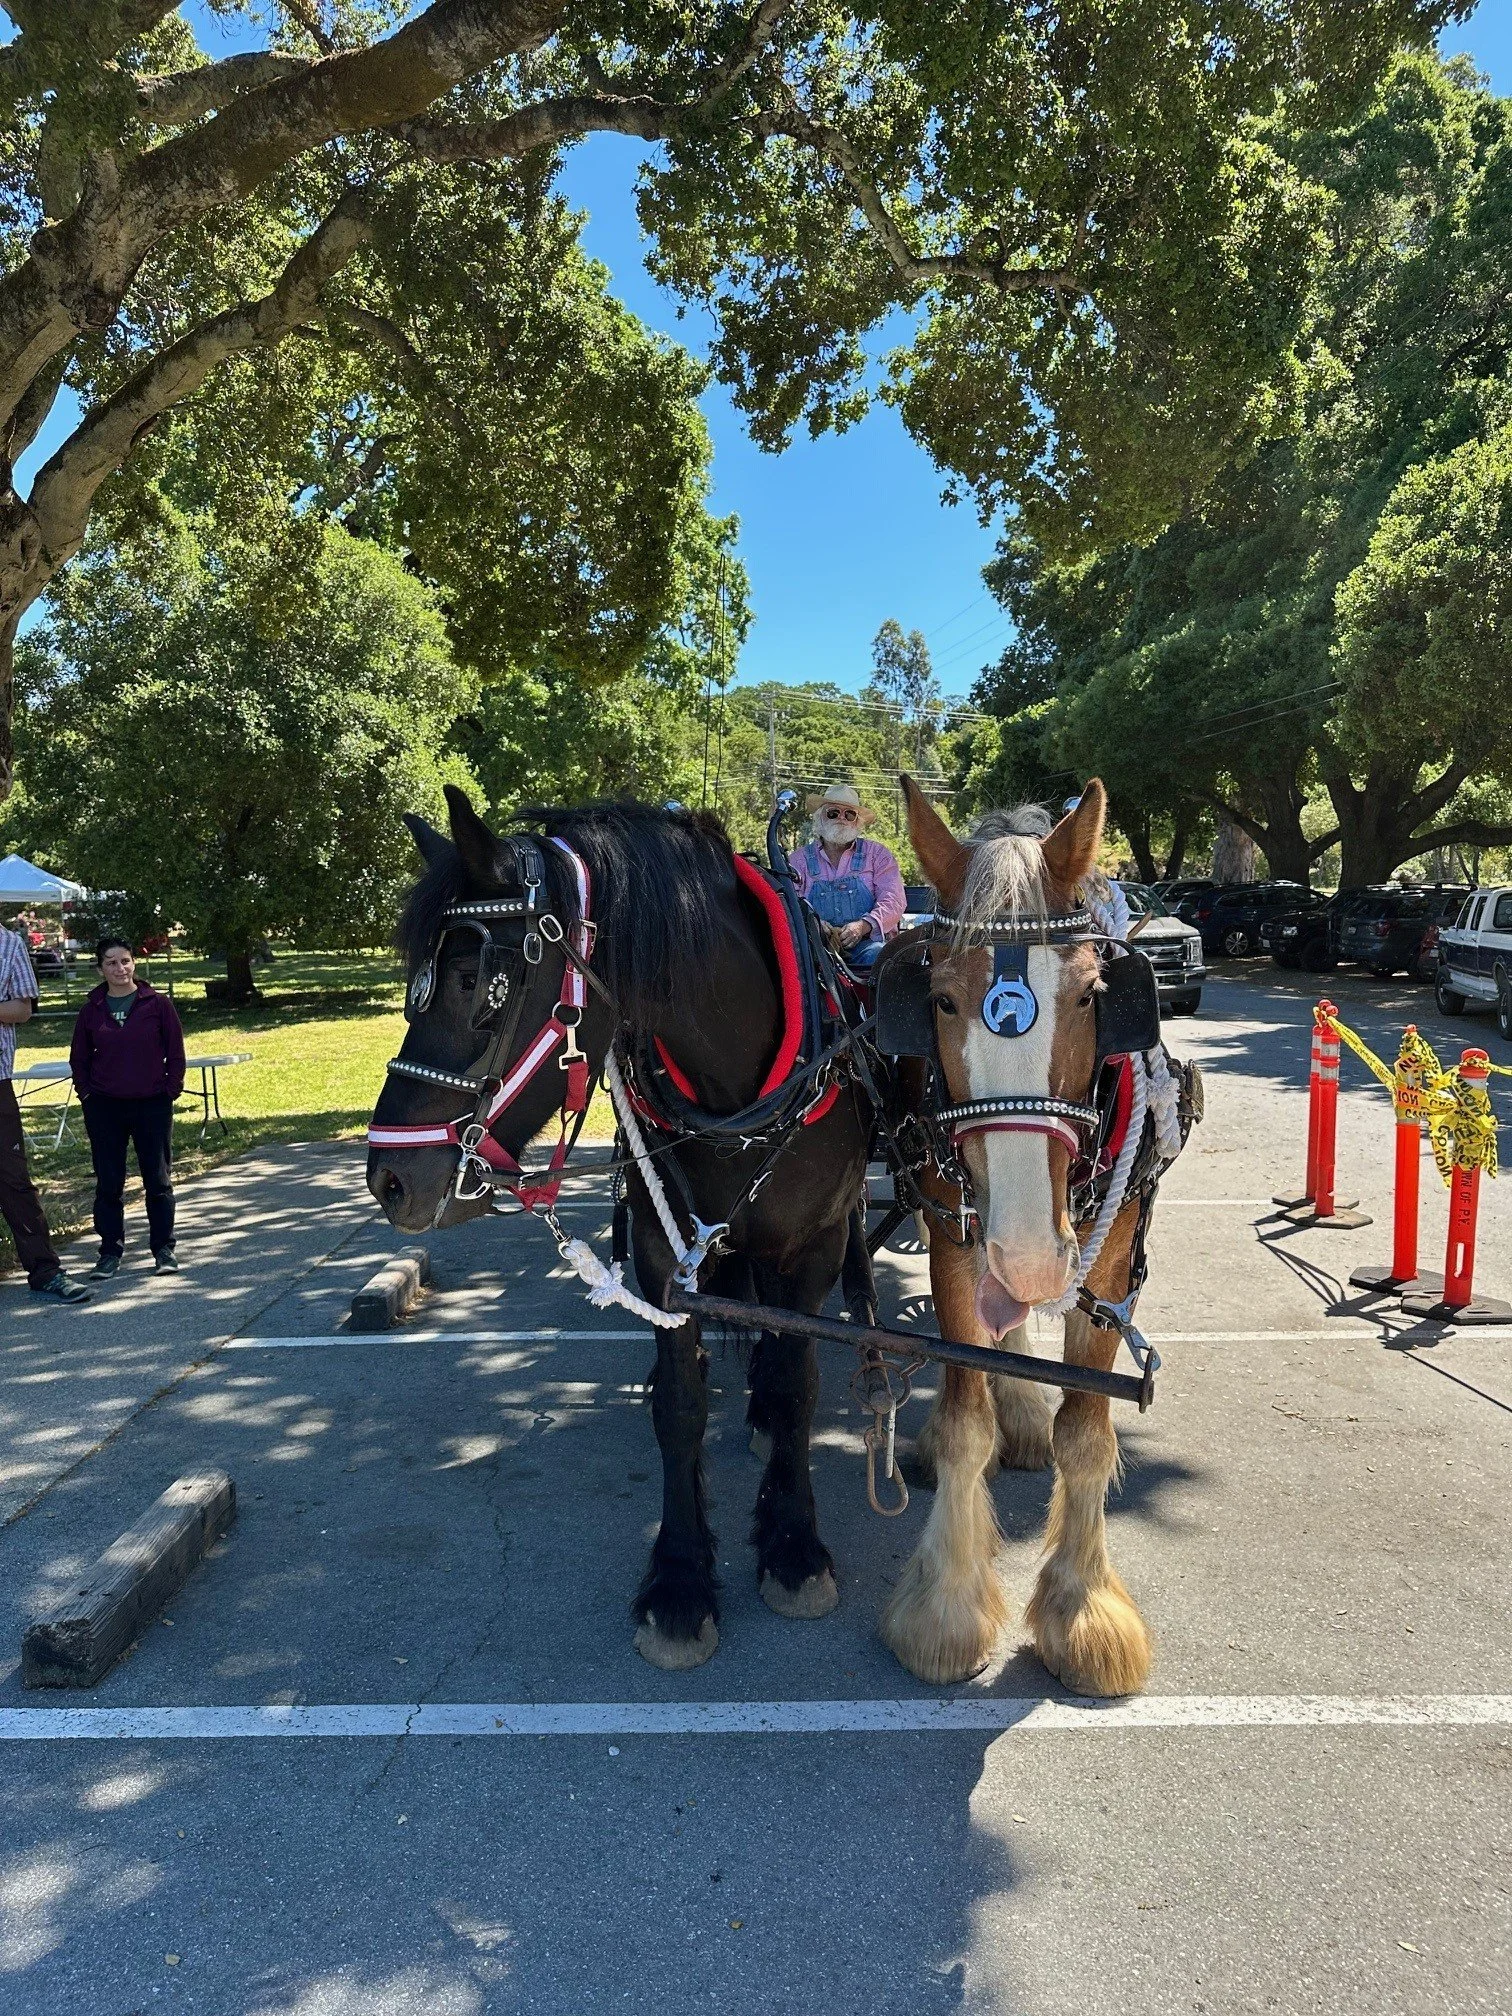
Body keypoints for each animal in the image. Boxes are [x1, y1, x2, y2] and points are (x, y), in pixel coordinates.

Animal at [366, 787, 874, 1671]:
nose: (388, 1178)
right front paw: (680, 1581)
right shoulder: (661, 1252)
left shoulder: (813, 1247)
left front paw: (793, 1544)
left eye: (474, 979)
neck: (735, 1092)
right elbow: (679, 1403)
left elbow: (797, 1384)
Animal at [875, 776, 1178, 1696]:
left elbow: (1088, 1435)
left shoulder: (1109, 1262)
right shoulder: (954, 1239)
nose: (1033, 1258)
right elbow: (963, 1418)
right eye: (939, 999)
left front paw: (1084, 1612)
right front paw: (946, 1610)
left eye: (1089, 995)